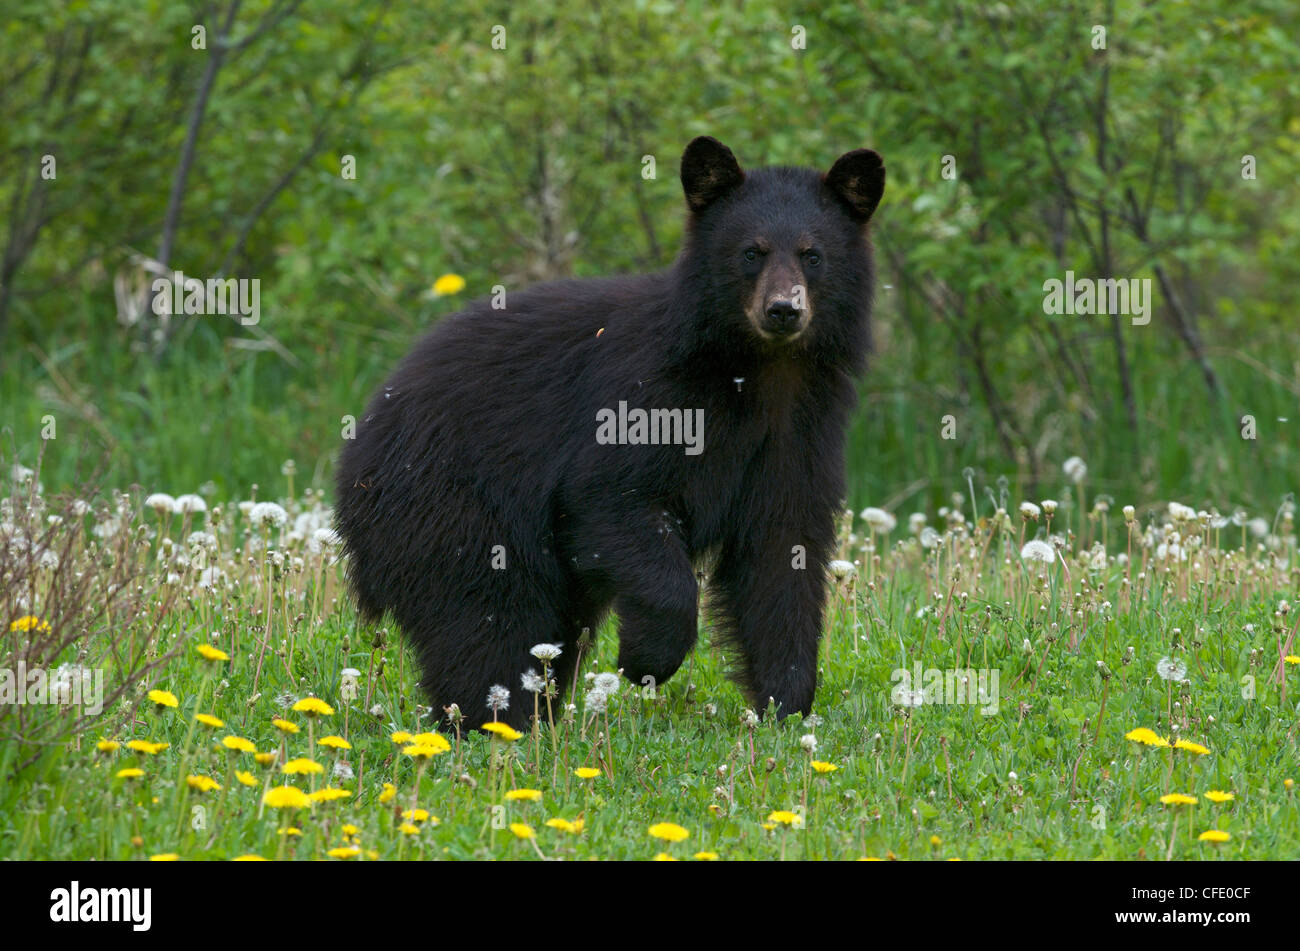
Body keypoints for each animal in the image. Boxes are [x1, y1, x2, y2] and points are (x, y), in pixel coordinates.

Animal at [335, 136, 884, 731]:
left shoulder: (803, 430)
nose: (783, 309)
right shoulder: (649, 394)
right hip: (451, 506)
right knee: (487, 620)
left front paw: (786, 704)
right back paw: (497, 721)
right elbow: (612, 496)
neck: (758, 371)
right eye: (751, 252)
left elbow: (782, 555)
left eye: (813, 254)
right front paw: (645, 660)